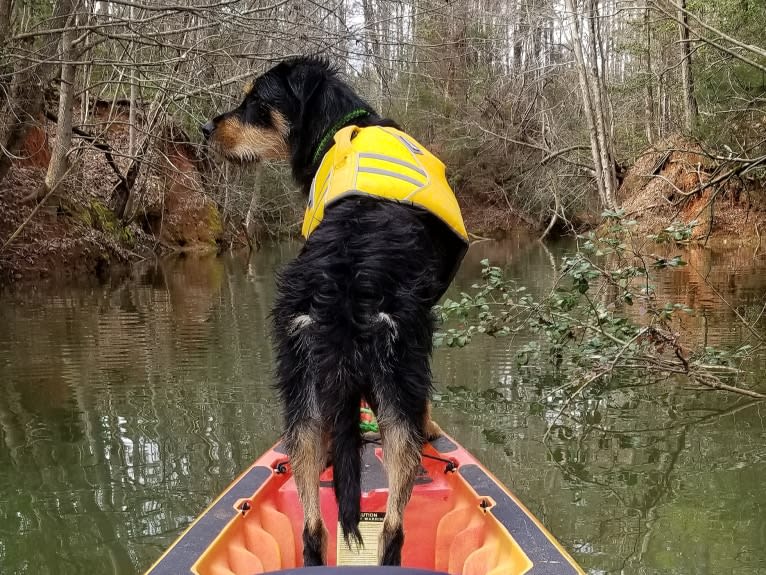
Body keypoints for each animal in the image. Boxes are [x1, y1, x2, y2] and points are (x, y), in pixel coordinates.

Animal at [204, 56, 468, 568]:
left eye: (255, 102)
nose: (206, 128)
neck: (346, 126)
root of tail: (344, 283)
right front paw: (432, 430)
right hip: (401, 372)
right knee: (393, 522)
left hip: (301, 391)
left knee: (312, 525)